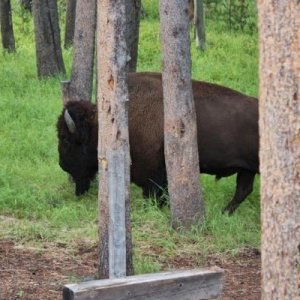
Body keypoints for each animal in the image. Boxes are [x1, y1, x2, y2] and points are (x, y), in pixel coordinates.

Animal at [57, 72, 258, 213]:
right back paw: (225, 212)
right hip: (247, 169)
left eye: (66, 139)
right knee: (243, 190)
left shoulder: (153, 174)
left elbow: (153, 193)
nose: (62, 165)